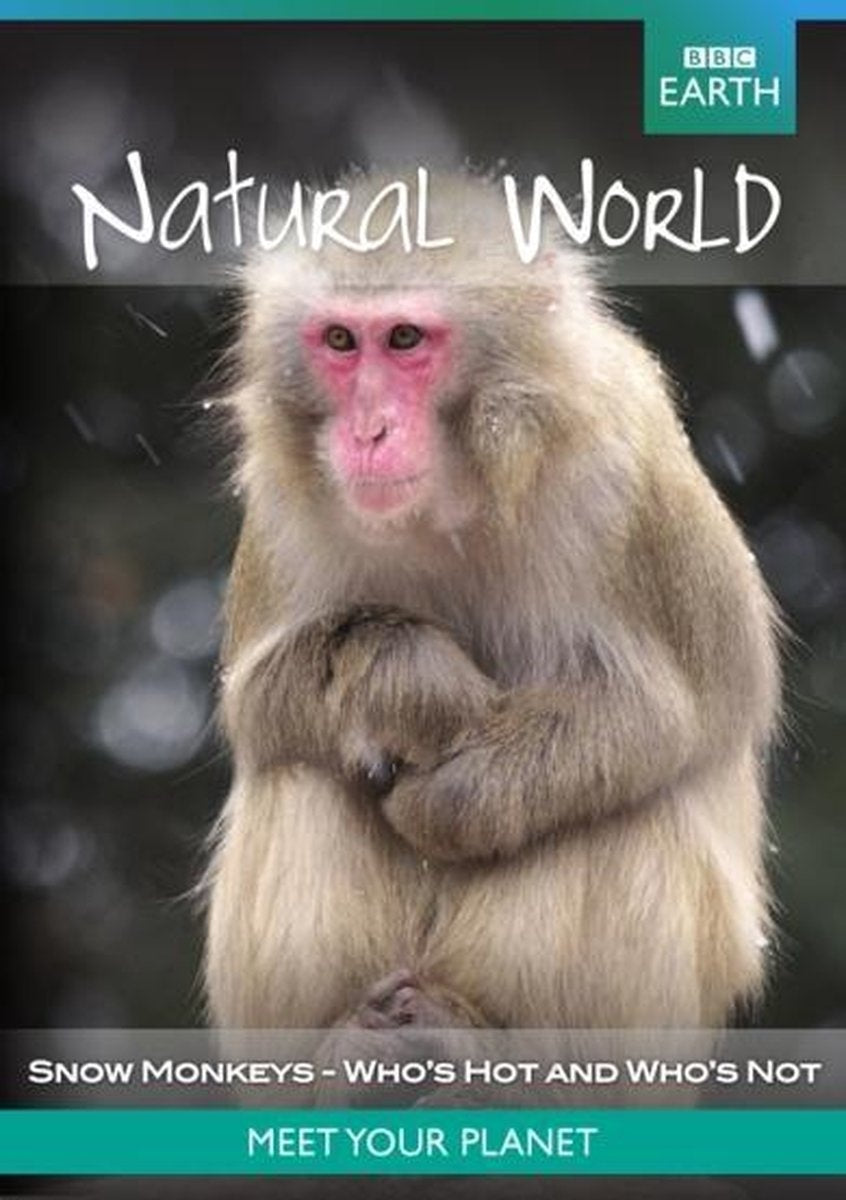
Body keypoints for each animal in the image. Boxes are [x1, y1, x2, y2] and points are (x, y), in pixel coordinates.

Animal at [203, 168, 780, 1046]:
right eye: (340, 341)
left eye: (406, 340)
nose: (368, 433)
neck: (461, 495)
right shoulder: (281, 503)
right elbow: (257, 702)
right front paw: (402, 678)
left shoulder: (627, 473)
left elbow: (689, 710)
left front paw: (454, 795)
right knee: (302, 771)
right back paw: (354, 1046)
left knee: (623, 810)